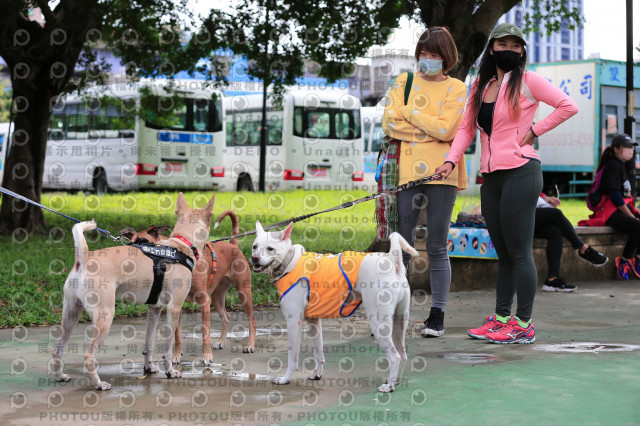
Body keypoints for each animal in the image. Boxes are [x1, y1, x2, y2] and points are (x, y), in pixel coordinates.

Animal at [50, 193, 215, 390]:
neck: (180, 244)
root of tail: (84, 258)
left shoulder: (154, 310)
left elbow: (149, 343)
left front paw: (148, 368)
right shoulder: (174, 308)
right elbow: (168, 347)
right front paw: (170, 371)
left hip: (71, 314)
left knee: (57, 349)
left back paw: (60, 376)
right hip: (105, 317)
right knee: (89, 355)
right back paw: (99, 384)